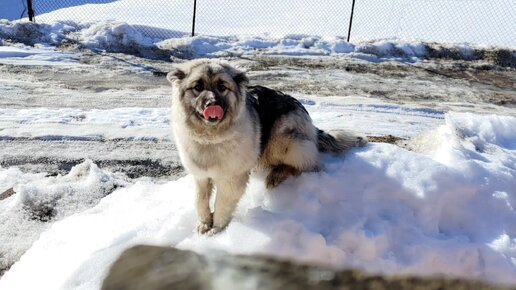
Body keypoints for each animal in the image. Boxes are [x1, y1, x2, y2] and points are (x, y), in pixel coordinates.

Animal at [167, 60, 364, 234]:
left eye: (222, 87)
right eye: (198, 87)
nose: (211, 105)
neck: (211, 138)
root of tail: (312, 126)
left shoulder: (231, 179)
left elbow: (222, 203)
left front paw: (217, 227)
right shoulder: (201, 176)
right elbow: (200, 200)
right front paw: (204, 222)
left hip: (283, 140)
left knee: (309, 165)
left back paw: (277, 175)